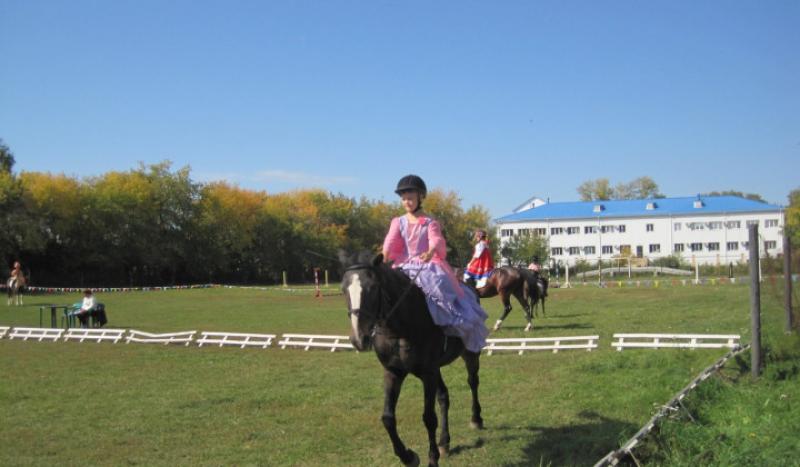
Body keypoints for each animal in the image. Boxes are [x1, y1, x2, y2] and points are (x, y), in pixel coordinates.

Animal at [340, 252, 482, 467]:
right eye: (343, 290)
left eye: (373, 288)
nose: (358, 338)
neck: (401, 328)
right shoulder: (394, 372)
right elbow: (388, 418)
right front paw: (408, 456)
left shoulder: (428, 373)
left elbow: (429, 418)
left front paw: (432, 459)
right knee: (444, 396)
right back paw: (444, 442)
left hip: (469, 354)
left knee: (473, 382)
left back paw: (476, 419)